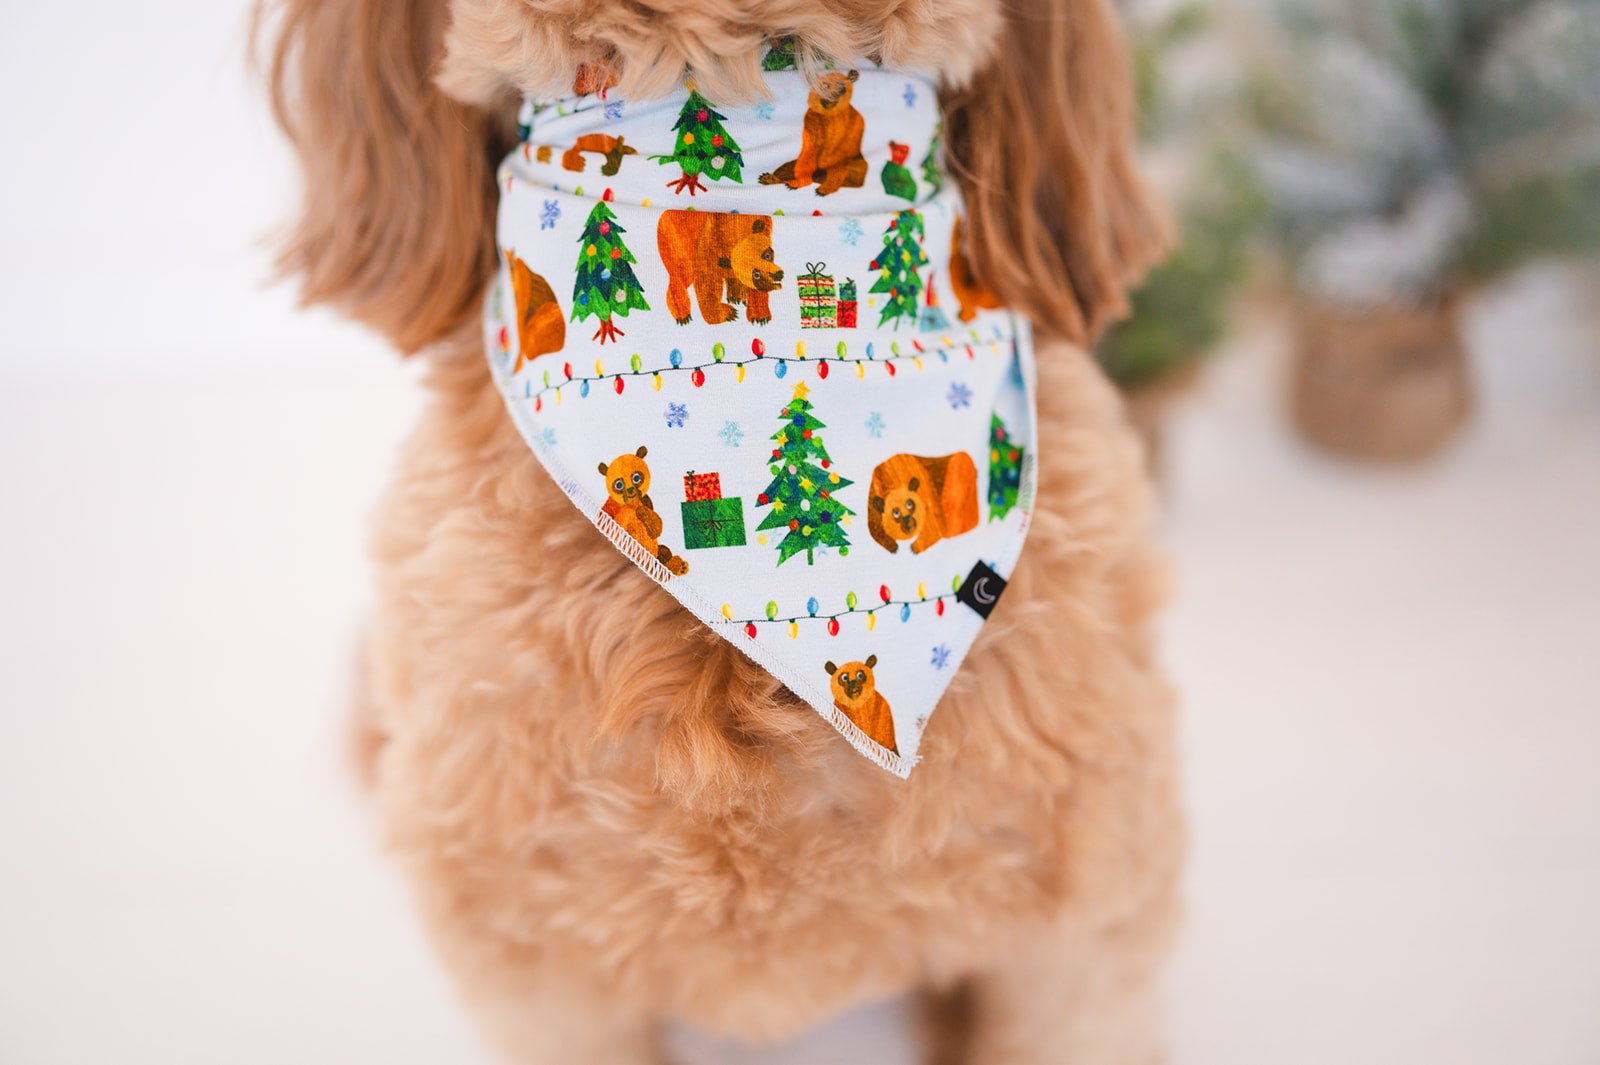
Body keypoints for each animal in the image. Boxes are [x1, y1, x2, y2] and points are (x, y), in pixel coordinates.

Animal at [592, 450, 684, 582]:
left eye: (636, 477)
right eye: (618, 484)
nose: (630, 490)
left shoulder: (647, 501)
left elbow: (656, 528)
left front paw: (642, 513)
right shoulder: (608, 508)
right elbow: (611, 521)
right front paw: (627, 514)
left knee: (663, 554)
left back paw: (677, 566)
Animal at [656, 207, 787, 323]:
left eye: (767, 255)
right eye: (756, 275)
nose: (778, 274)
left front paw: (760, 315)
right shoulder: (711, 237)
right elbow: (707, 277)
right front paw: (725, 313)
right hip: (672, 238)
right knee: (681, 272)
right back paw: (681, 312)